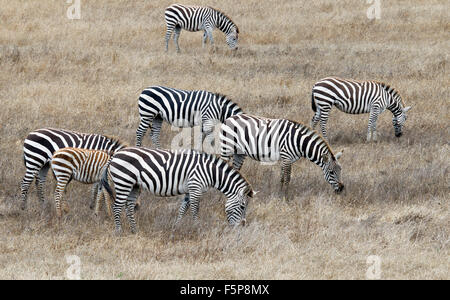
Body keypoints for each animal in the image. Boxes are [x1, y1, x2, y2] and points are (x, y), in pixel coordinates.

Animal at [100, 148, 255, 234]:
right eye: (242, 207)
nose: (242, 227)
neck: (210, 172)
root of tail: (114, 155)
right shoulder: (195, 186)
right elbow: (194, 209)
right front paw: (196, 227)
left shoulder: (190, 189)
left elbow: (183, 209)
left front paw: (177, 226)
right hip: (123, 181)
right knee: (117, 207)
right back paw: (119, 231)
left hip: (134, 186)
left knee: (129, 207)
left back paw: (134, 230)